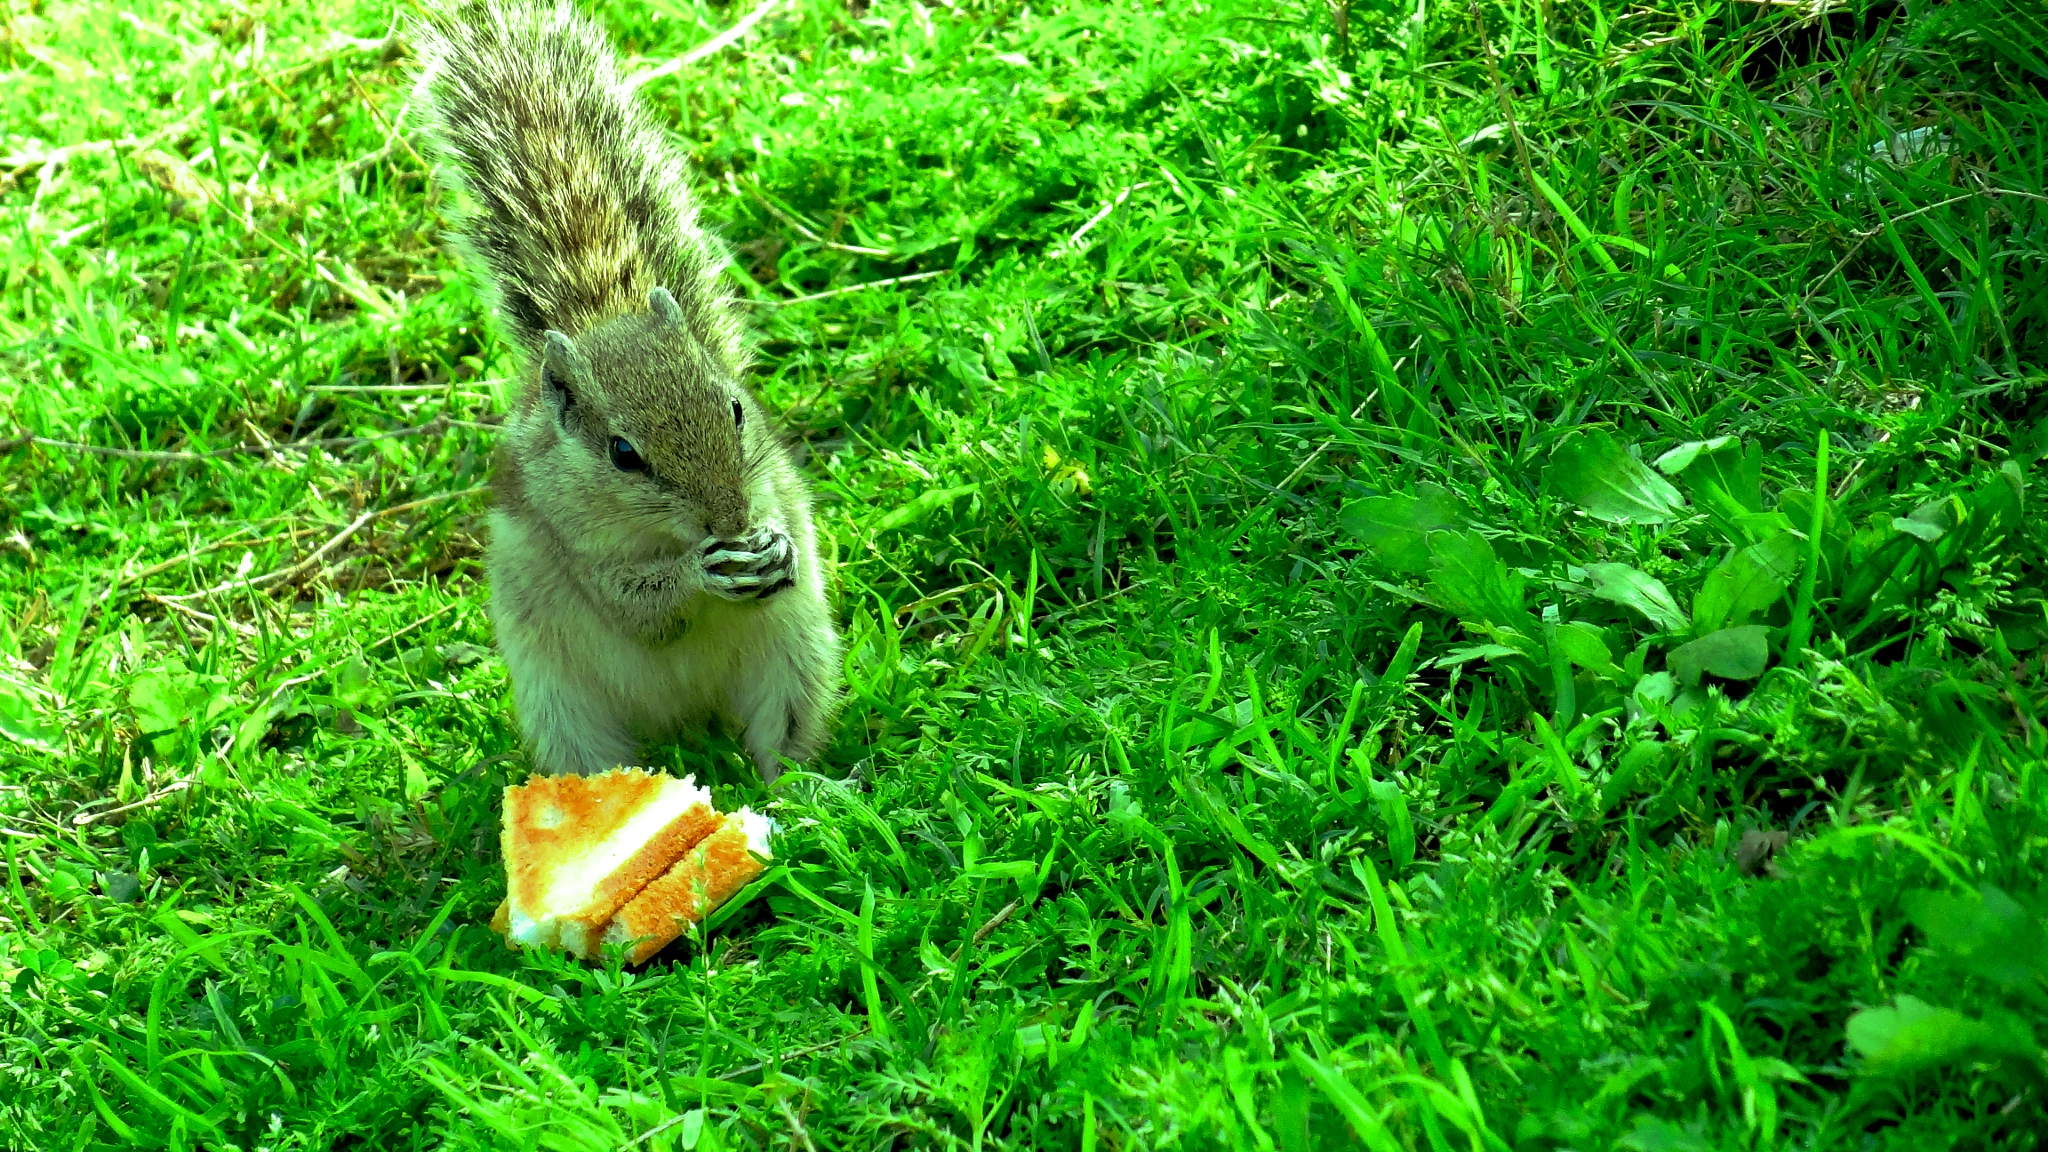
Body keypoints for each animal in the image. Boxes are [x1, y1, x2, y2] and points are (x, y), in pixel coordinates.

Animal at [411, 0, 842, 783]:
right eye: (622, 454)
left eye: (737, 408)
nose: (731, 519)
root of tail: (690, 723)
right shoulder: (572, 541)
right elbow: (640, 610)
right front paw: (699, 572)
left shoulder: (770, 485)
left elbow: (784, 524)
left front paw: (776, 548)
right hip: (566, 714)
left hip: (795, 662)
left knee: (780, 743)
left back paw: (799, 794)